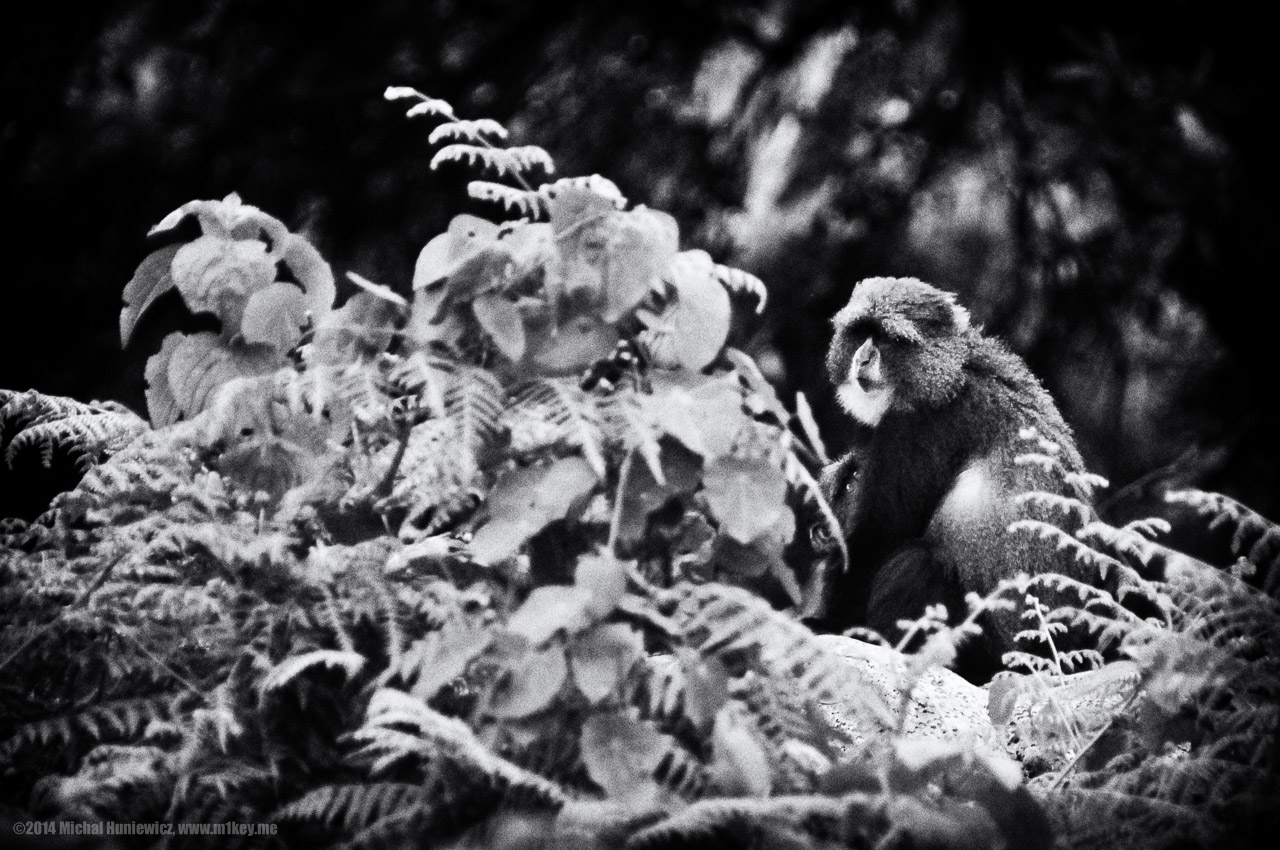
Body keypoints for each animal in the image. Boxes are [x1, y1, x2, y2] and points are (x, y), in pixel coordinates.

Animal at [810, 276, 1092, 676]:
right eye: (862, 332)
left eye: (888, 339)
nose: (862, 358)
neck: (953, 373)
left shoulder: (918, 429)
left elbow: (876, 539)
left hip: (986, 654)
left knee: (917, 563)